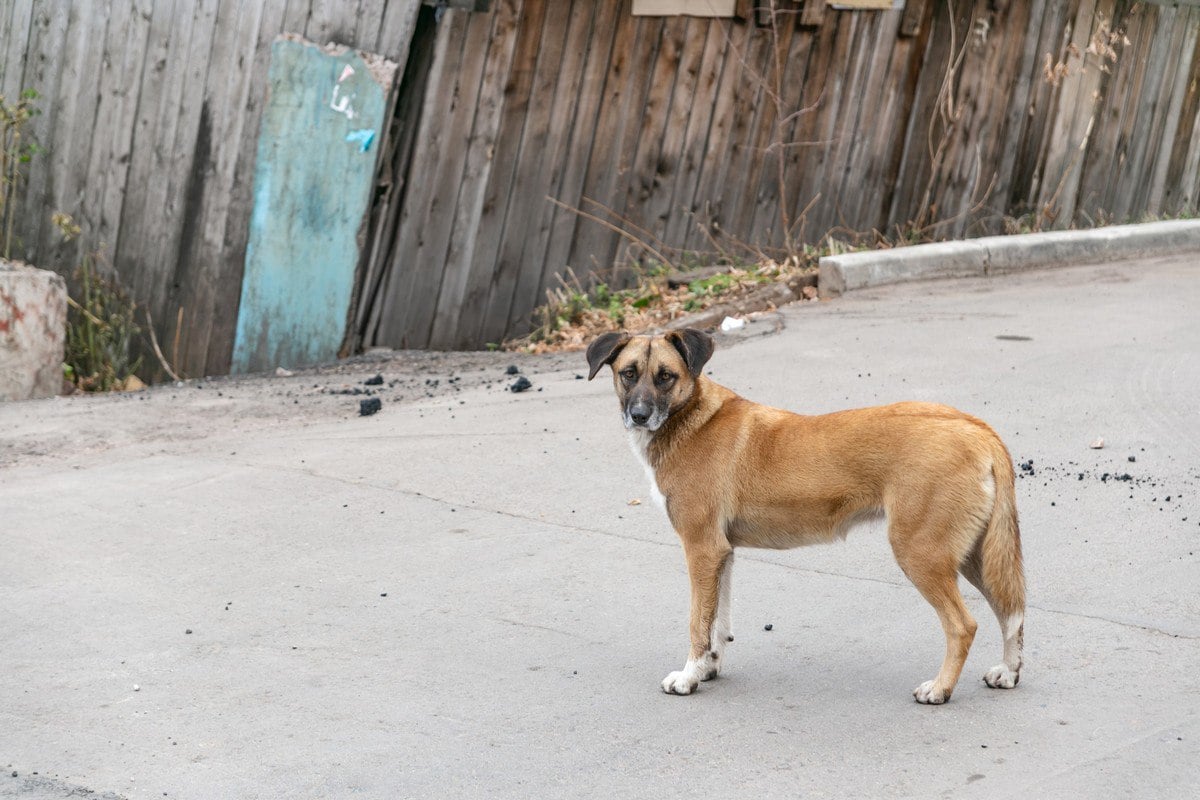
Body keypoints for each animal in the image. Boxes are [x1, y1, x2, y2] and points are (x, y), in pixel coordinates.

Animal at [585, 328, 1027, 705]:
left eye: (666, 376)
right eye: (628, 373)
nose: (639, 415)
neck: (691, 418)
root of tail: (976, 429)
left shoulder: (701, 549)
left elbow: (698, 622)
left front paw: (688, 677)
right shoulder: (721, 554)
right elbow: (718, 623)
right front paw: (709, 667)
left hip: (921, 553)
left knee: (963, 625)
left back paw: (940, 688)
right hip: (974, 556)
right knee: (1011, 611)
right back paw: (1008, 671)